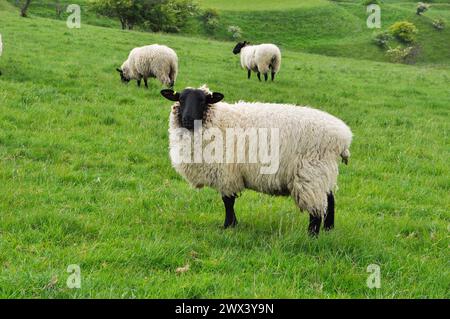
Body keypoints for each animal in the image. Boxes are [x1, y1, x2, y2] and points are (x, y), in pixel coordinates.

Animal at [160, 85, 354, 238]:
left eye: (203, 101)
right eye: (181, 99)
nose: (187, 119)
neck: (216, 120)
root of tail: (344, 137)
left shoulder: (227, 173)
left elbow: (228, 201)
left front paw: (228, 226)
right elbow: (229, 201)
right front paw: (233, 224)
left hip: (311, 172)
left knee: (316, 209)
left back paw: (311, 236)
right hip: (322, 171)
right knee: (330, 200)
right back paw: (329, 230)